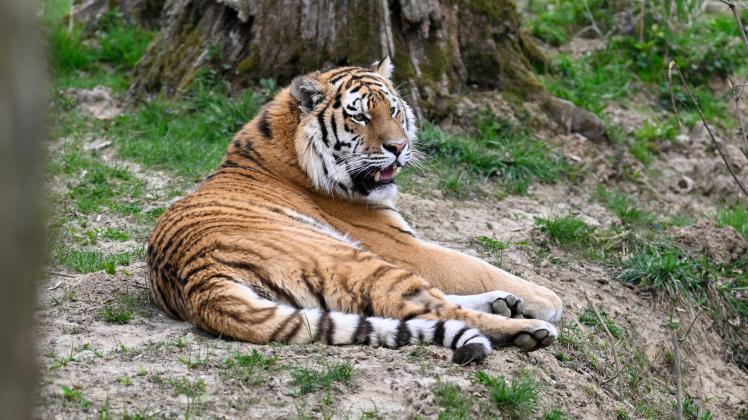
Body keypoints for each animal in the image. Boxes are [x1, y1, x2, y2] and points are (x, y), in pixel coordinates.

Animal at [146, 57, 563, 364]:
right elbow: (474, 264)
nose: (399, 147)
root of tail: (199, 281)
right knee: (437, 310)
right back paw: (529, 329)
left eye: (394, 111)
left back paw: (506, 304)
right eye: (360, 116)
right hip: (359, 261)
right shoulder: (402, 246)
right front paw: (550, 299)